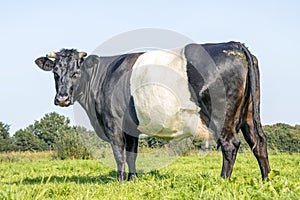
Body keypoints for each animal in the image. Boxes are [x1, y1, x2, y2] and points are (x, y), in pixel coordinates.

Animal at [35, 41, 272, 180]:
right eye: (55, 72)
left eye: (76, 72)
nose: (62, 98)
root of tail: (234, 44)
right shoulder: (130, 127)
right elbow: (131, 154)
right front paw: (132, 179)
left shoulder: (113, 122)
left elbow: (119, 154)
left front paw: (120, 181)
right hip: (248, 112)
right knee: (258, 141)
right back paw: (265, 179)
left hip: (222, 115)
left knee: (230, 144)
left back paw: (223, 179)